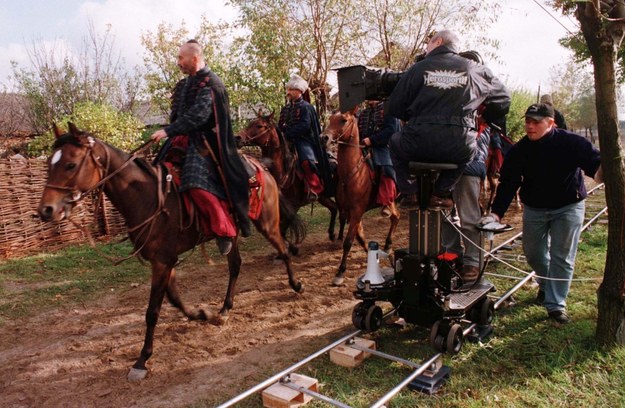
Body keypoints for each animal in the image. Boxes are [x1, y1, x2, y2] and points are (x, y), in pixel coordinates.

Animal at [36, 122, 304, 380]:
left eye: (70, 164)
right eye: (50, 165)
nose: (46, 210)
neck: (147, 198)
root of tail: (263, 170)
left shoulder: (163, 261)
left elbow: (152, 311)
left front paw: (142, 360)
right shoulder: (166, 260)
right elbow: (174, 298)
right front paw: (200, 314)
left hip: (266, 223)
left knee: (283, 249)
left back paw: (296, 285)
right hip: (233, 233)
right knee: (235, 264)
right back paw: (225, 309)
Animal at [239, 112, 346, 252]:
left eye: (259, 126)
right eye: (250, 123)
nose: (238, 137)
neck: (284, 171)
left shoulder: (294, 205)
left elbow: (285, 227)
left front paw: (291, 248)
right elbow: (281, 228)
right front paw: (289, 247)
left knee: (343, 213)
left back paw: (340, 238)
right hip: (322, 196)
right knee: (334, 208)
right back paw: (332, 234)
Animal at [322, 110, 400, 286]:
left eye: (343, 120)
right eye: (331, 119)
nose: (324, 138)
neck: (353, 173)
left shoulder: (357, 210)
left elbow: (348, 242)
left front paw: (340, 272)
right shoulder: (350, 212)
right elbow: (360, 237)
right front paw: (373, 258)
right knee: (395, 217)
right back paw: (388, 244)